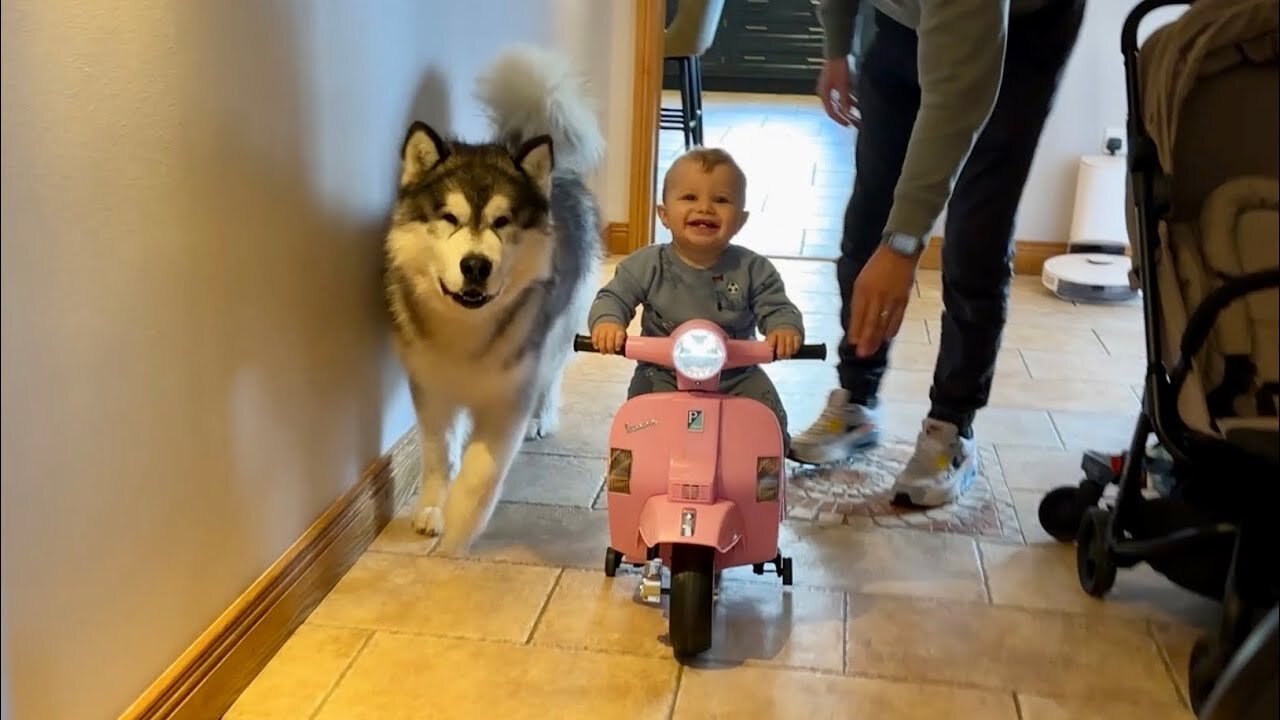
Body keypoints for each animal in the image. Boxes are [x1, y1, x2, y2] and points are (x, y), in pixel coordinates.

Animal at [384, 46, 604, 548]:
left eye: (503, 222)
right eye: (449, 217)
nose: (476, 266)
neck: (467, 331)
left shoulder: (508, 398)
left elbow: (482, 472)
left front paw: (461, 522)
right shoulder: (430, 389)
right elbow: (440, 455)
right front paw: (433, 507)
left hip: (560, 329)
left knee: (552, 373)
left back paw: (543, 417)